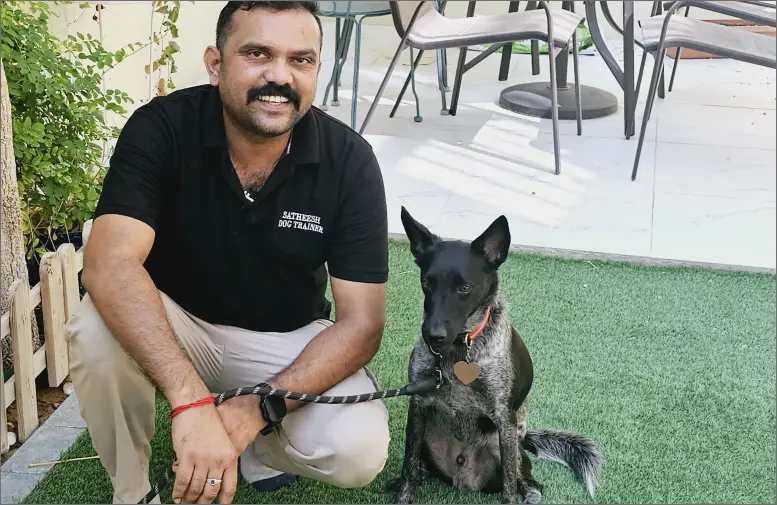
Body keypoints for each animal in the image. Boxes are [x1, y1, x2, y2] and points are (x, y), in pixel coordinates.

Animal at [392, 207, 604, 502]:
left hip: (511, 447)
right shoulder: (419, 405)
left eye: (465, 288)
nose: (432, 336)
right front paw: (402, 491)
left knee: (528, 481)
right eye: (427, 283)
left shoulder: (503, 417)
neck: (460, 349)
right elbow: (408, 466)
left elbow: (509, 487)